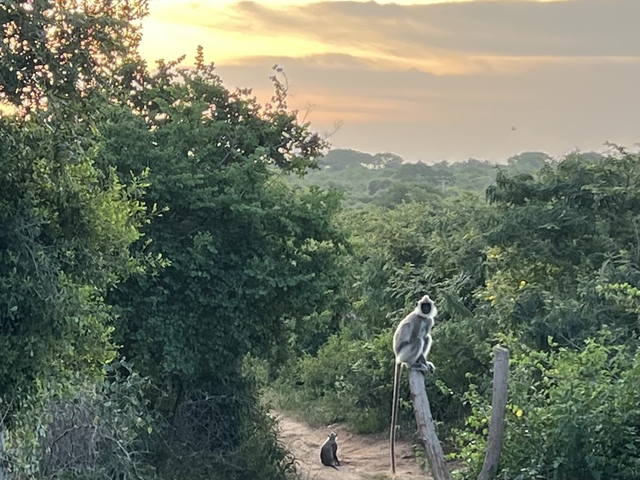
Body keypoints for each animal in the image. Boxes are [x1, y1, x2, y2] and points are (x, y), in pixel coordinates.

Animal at [390, 294, 437, 475]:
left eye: (427, 306)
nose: (425, 310)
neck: (423, 318)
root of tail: (397, 356)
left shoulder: (428, 321)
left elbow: (426, 334)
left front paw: (426, 364)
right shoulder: (418, 321)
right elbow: (416, 336)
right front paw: (422, 364)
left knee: (426, 337)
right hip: (405, 352)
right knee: (417, 339)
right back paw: (414, 365)